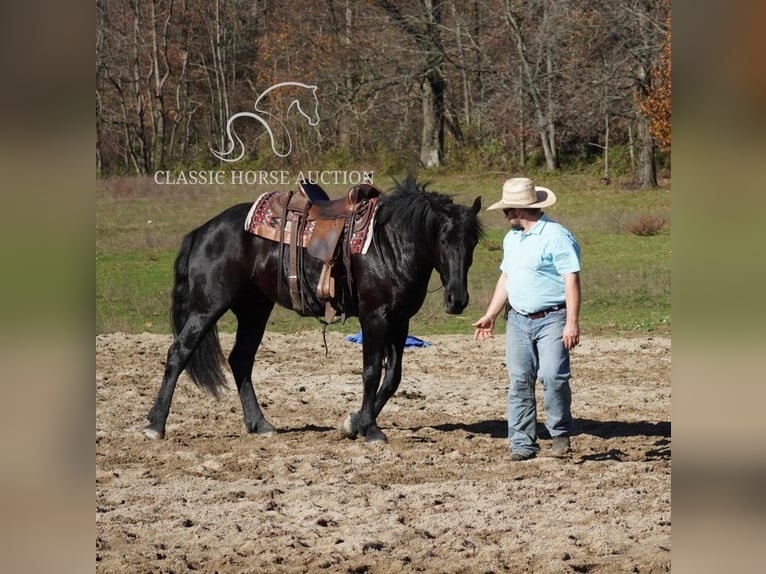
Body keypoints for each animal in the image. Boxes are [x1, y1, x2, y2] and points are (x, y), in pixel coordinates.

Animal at [145, 176, 484, 446]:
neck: (389, 244)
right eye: (443, 238)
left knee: (240, 360)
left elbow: (393, 377)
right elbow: (372, 372)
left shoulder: (400, 322)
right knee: (179, 352)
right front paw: (371, 429)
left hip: (254, 310)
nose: (457, 299)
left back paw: (259, 424)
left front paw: (353, 423)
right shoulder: (374, 317)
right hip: (208, 307)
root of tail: (203, 231)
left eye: (473, 242)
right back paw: (155, 425)